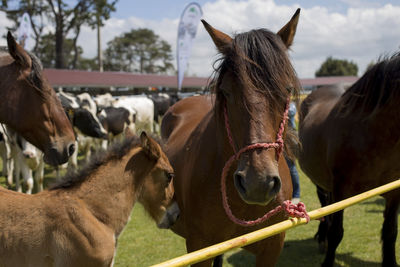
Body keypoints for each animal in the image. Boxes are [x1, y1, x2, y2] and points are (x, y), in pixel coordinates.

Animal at [298, 55, 400, 266]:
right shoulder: (341, 189)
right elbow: (336, 232)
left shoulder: (394, 193)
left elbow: (390, 232)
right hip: (321, 183)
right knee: (324, 208)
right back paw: (321, 238)